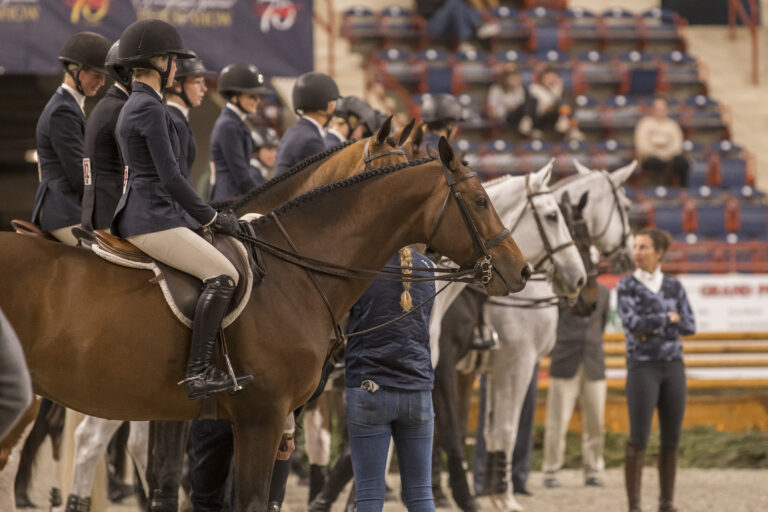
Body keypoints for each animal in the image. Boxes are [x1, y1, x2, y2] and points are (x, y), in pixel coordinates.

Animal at [484, 161, 640, 512]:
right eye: (626, 207)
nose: (630, 254)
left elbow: (490, 430)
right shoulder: (515, 362)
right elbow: (505, 429)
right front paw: (503, 495)